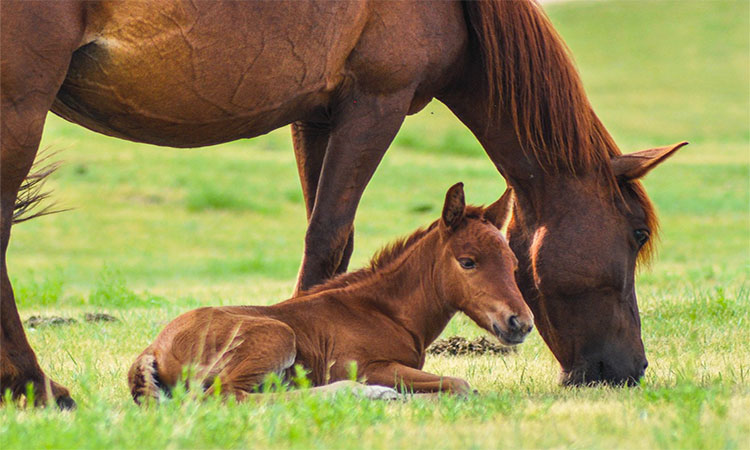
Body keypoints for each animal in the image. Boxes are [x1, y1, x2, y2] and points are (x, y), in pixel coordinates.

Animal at [127, 184, 533, 403]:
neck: (384, 311)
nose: (521, 323)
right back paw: (364, 393)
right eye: (468, 261)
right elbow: (459, 384)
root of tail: (152, 349)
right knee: (228, 396)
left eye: (513, 261)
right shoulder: (365, 365)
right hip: (277, 335)